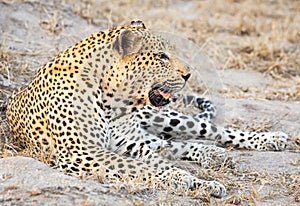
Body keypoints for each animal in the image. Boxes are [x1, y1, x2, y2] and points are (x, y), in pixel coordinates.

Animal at [5, 20, 288, 198]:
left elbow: (150, 163)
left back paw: (267, 140)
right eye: (162, 56)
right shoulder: (83, 152)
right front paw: (184, 180)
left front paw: (188, 179)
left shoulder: (125, 145)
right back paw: (210, 162)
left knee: (209, 129)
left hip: (164, 118)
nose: (188, 74)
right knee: (171, 144)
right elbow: (139, 166)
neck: (111, 101)